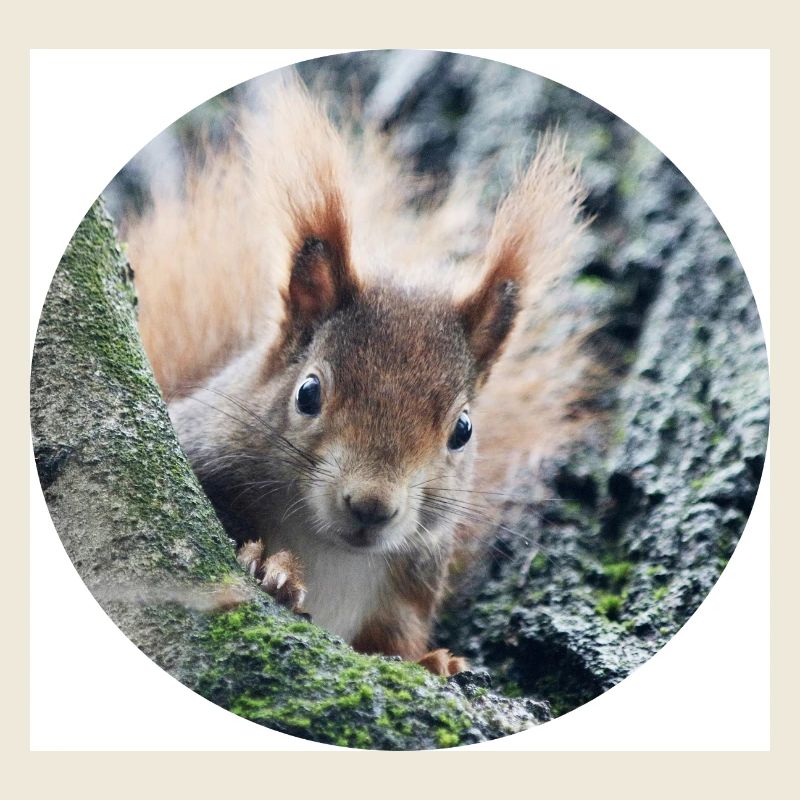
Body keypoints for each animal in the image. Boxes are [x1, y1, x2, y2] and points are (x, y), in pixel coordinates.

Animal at [121, 74, 587, 676]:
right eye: (308, 393)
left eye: (463, 430)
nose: (372, 506)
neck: (332, 553)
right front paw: (273, 567)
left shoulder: (406, 593)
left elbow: (396, 643)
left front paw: (435, 662)